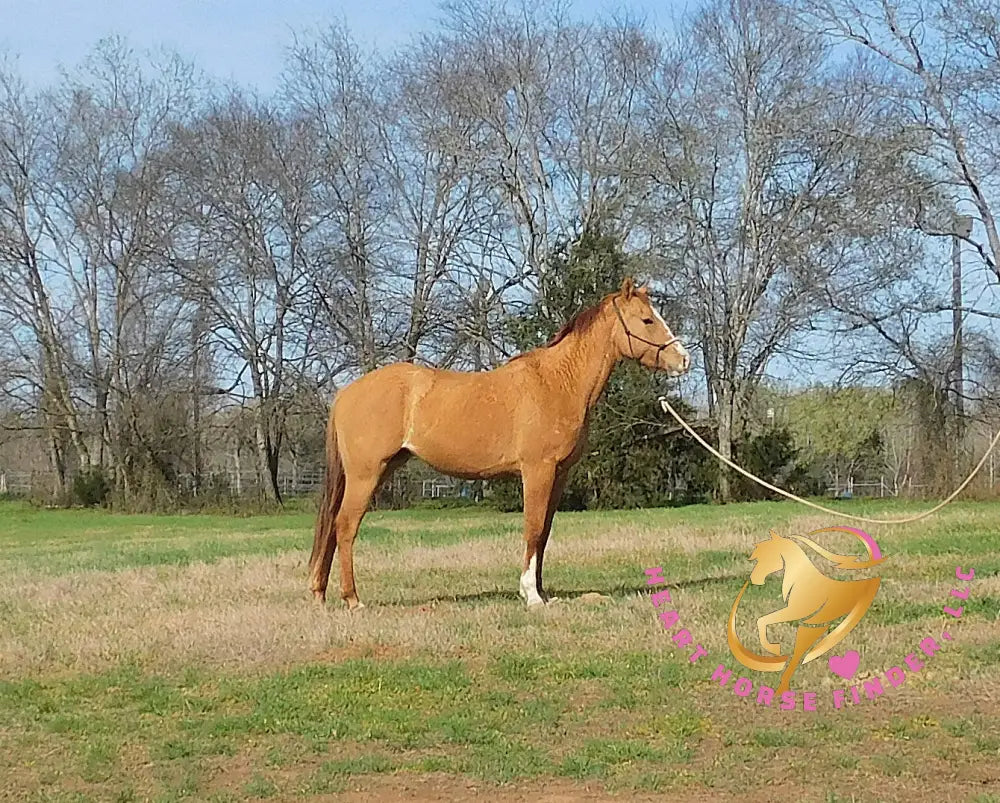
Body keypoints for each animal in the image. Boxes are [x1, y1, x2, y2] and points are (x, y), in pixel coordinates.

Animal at [308, 277, 691, 610]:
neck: (557, 382)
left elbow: (544, 532)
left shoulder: (559, 475)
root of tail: (345, 393)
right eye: (647, 320)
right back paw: (353, 599)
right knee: (345, 526)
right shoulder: (537, 471)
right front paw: (531, 596)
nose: (683, 360)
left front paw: (541, 592)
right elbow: (532, 528)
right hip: (365, 475)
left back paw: (321, 592)